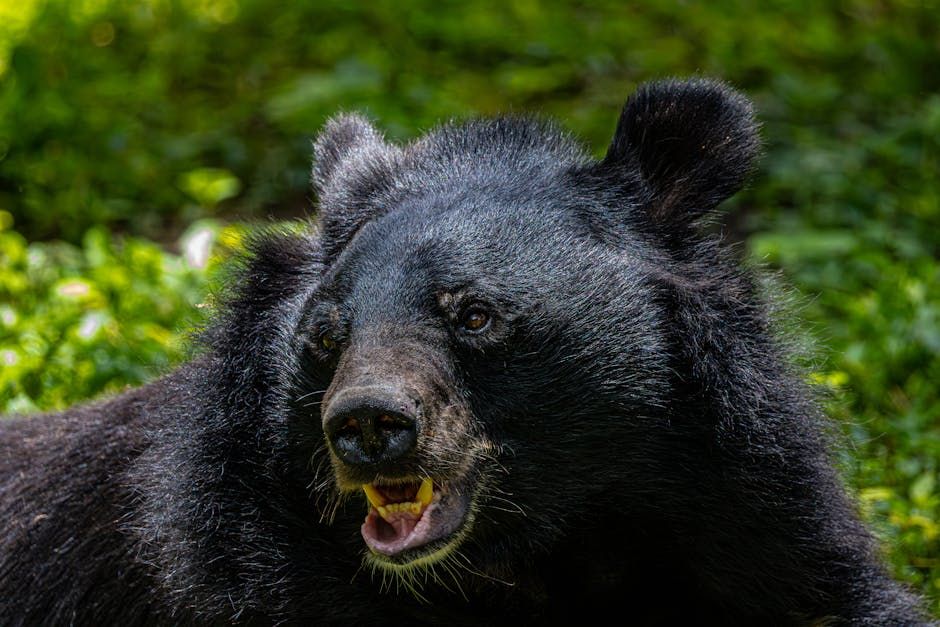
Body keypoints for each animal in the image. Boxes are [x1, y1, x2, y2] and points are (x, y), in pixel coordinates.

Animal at [0, 78, 931, 625]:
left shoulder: (745, 509)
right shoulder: (232, 561)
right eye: (325, 337)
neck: (535, 550)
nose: (368, 425)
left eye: (475, 314)